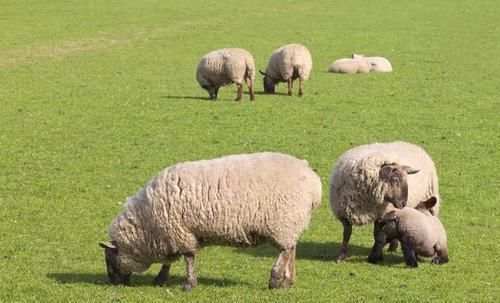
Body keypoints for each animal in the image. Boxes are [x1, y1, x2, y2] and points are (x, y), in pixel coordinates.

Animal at [99, 153, 322, 294]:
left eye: (109, 258)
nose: (114, 284)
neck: (146, 223)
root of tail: (313, 181)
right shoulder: (171, 234)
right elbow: (169, 259)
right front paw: (160, 279)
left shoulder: (179, 232)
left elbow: (187, 258)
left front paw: (188, 285)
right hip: (290, 223)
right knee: (291, 248)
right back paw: (287, 280)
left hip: (283, 221)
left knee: (285, 250)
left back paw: (275, 279)